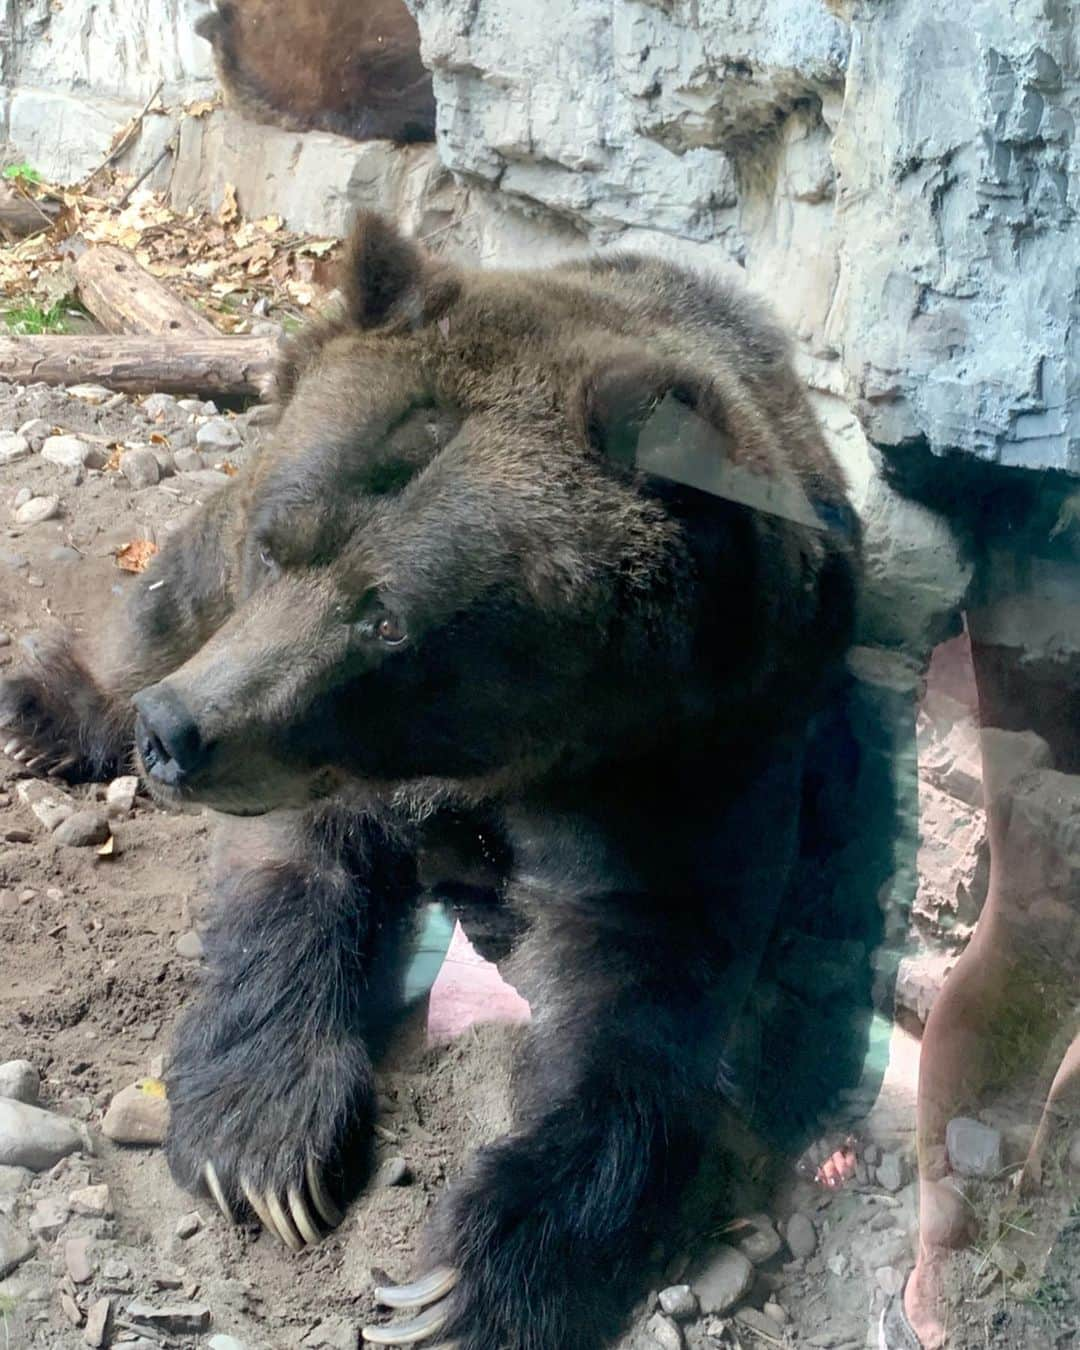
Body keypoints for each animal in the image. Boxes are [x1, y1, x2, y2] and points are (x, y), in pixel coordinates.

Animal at [0, 216, 858, 1350]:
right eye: (279, 547)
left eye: (389, 619)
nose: (177, 734)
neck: (492, 753)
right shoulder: (312, 739)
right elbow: (288, 874)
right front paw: (263, 1144)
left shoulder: (687, 765)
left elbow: (639, 995)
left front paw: (475, 1271)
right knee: (166, 596)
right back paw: (47, 714)